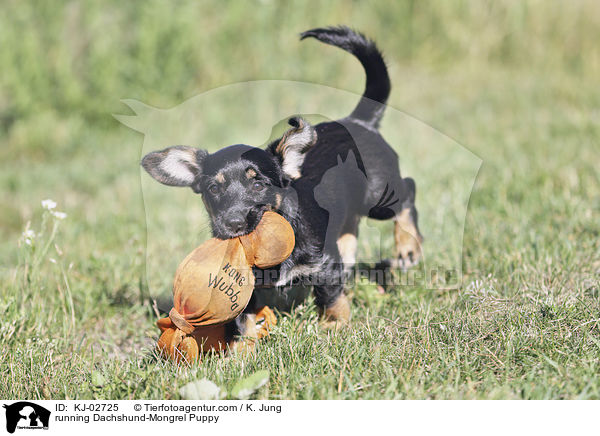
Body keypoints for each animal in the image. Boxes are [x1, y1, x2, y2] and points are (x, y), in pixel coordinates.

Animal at [142, 25, 422, 346]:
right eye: (214, 189)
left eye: (258, 185)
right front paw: (242, 348)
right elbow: (242, 318)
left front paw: (334, 327)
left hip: (378, 197)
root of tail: (359, 121)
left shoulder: (323, 264)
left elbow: (330, 298)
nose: (233, 225)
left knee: (408, 192)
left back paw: (408, 248)